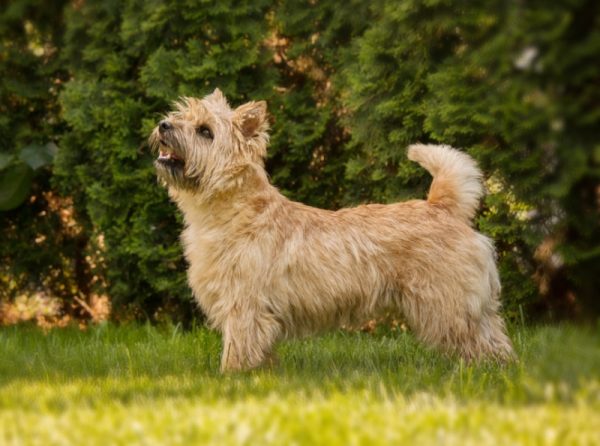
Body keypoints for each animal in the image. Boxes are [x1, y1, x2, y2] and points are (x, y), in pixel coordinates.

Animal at [150, 89, 516, 372]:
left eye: (205, 131)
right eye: (181, 114)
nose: (164, 124)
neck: (232, 211)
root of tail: (442, 205)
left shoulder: (244, 305)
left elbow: (237, 348)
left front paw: (231, 379)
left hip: (445, 303)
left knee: (478, 341)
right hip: (468, 303)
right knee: (496, 336)